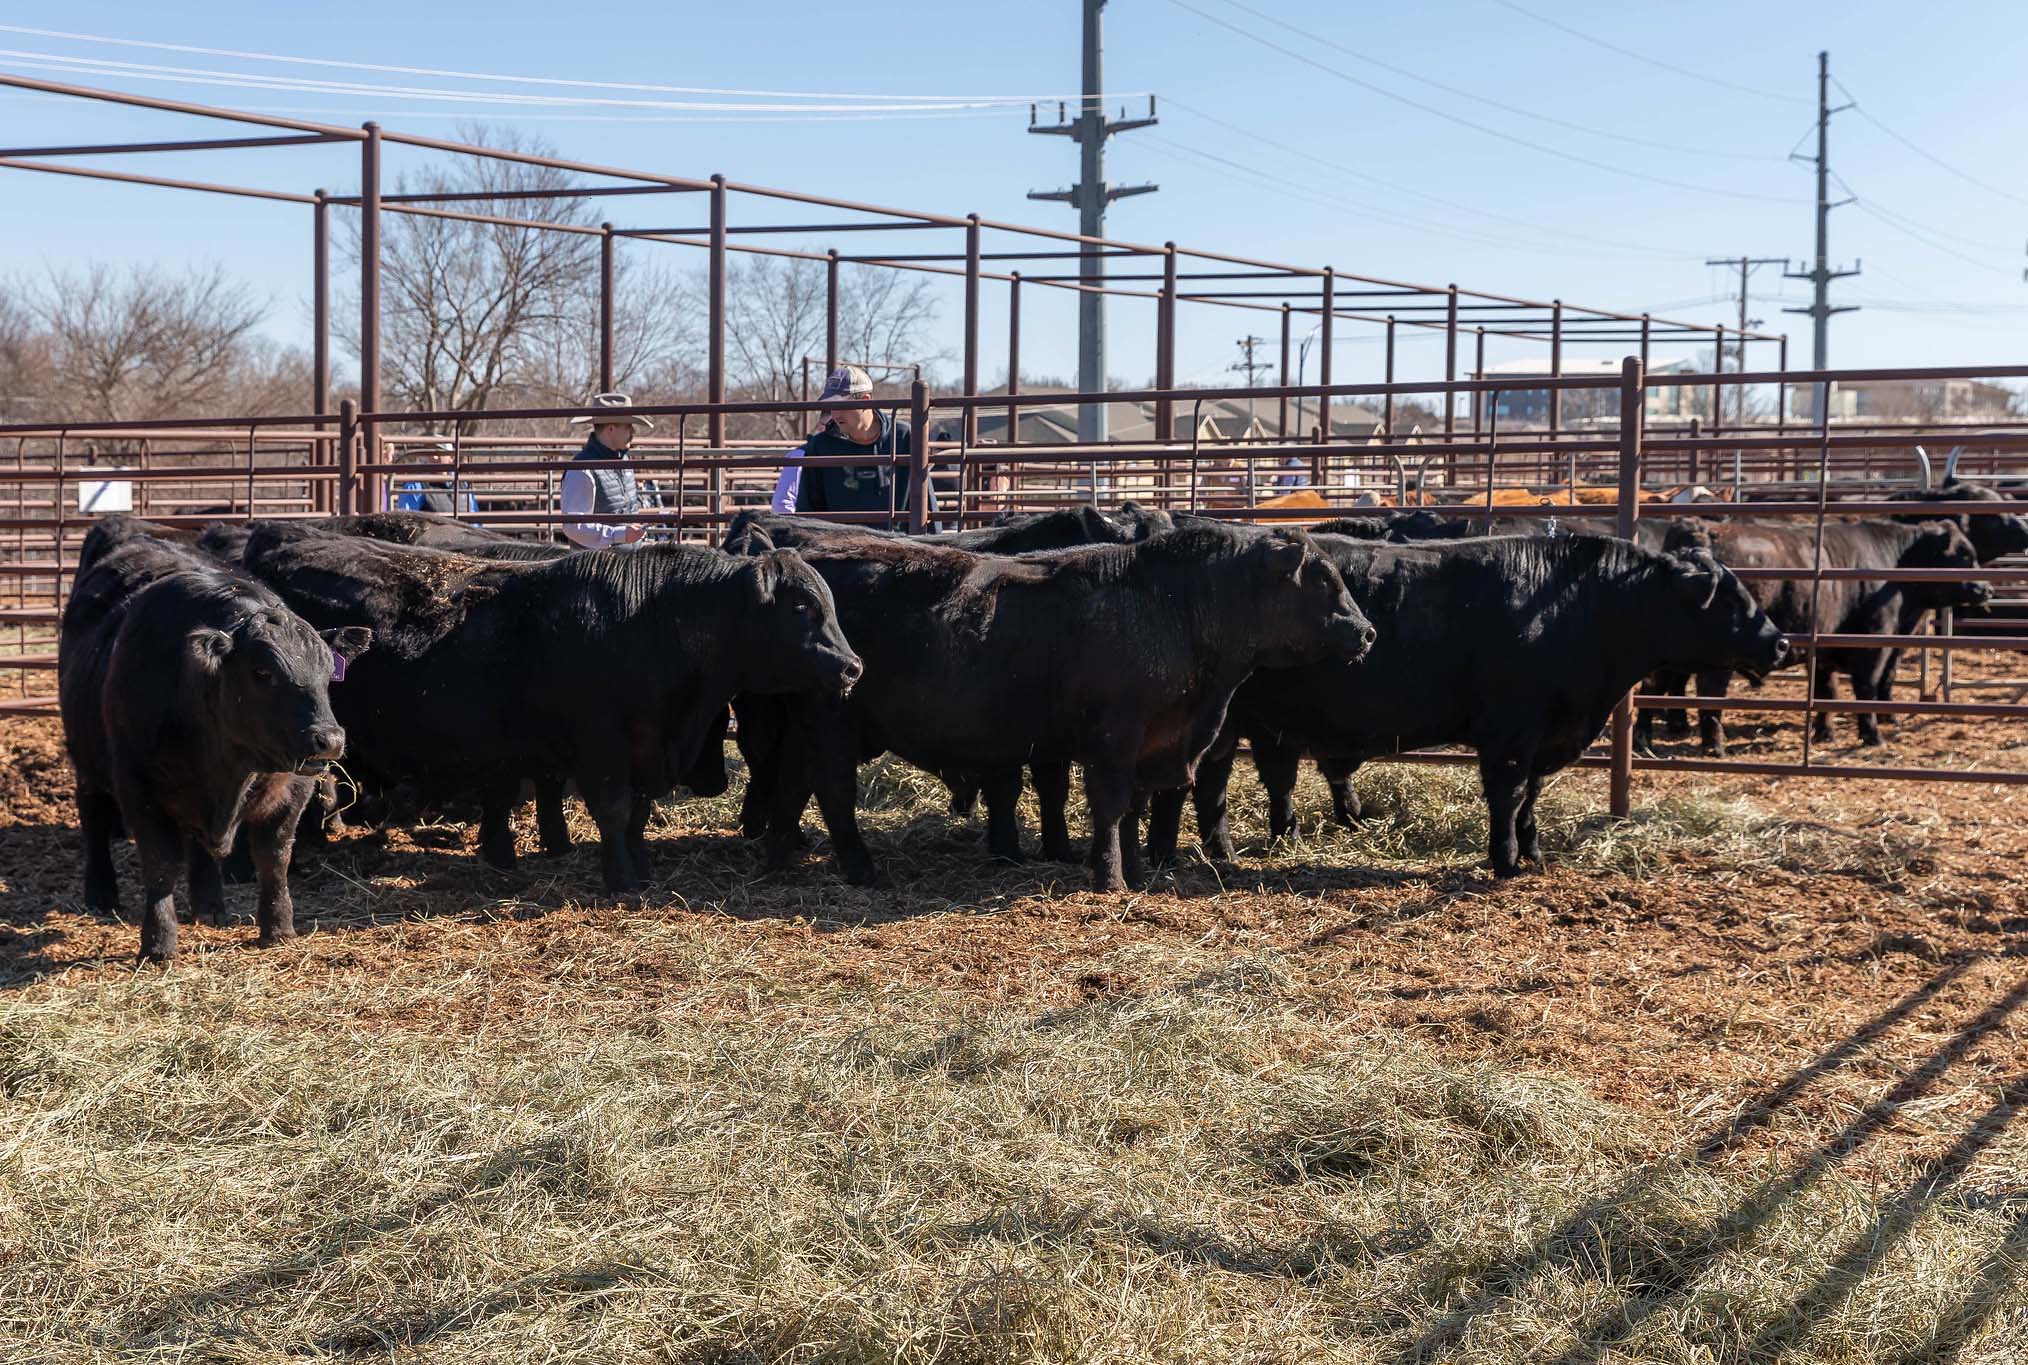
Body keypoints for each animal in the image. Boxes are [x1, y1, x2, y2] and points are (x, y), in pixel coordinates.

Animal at [60, 517, 373, 965]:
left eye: (328, 670)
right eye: (262, 672)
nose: (328, 739)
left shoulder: (292, 788)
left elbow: (274, 857)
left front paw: (278, 928)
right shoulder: (138, 788)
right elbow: (161, 865)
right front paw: (158, 944)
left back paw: (210, 905)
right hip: (86, 759)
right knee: (93, 816)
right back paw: (100, 892)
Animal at [721, 523, 1370, 892]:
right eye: (1321, 580)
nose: (1366, 632)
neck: (1175, 606)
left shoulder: (1154, 744)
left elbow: (1134, 809)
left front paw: (1136, 872)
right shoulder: (1115, 738)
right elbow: (1110, 806)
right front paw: (1109, 877)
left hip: (809, 723)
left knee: (792, 783)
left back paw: (779, 856)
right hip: (832, 720)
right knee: (832, 791)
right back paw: (860, 869)